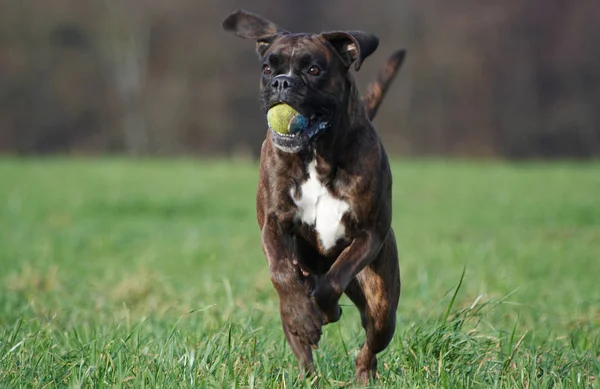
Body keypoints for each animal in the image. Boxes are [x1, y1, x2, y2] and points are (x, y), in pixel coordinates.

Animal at [223, 10, 406, 384]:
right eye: (268, 67)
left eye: (314, 69)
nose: (281, 82)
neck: (316, 154)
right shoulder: (273, 224)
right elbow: (281, 272)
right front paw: (305, 315)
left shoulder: (369, 234)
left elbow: (335, 278)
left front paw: (324, 308)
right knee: (303, 349)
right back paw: (308, 367)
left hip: (382, 304)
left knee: (370, 344)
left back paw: (362, 373)